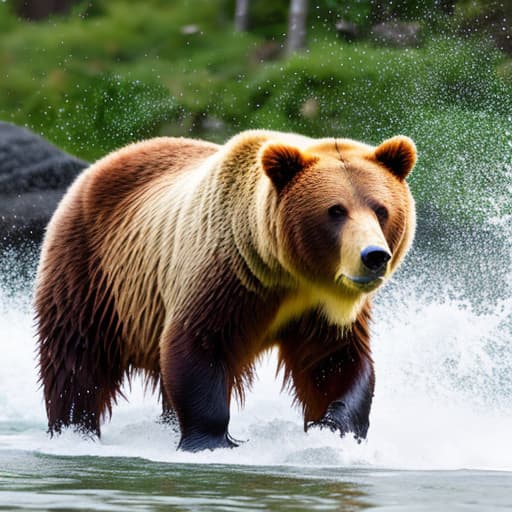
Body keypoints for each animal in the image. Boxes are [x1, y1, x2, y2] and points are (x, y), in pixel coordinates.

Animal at [34, 129, 416, 452]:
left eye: (381, 209)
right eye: (335, 211)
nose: (374, 256)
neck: (287, 272)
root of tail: (99, 165)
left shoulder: (322, 308)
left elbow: (335, 361)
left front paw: (334, 427)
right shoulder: (227, 273)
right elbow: (198, 345)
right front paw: (211, 441)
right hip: (94, 271)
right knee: (76, 356)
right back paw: (74, 429)